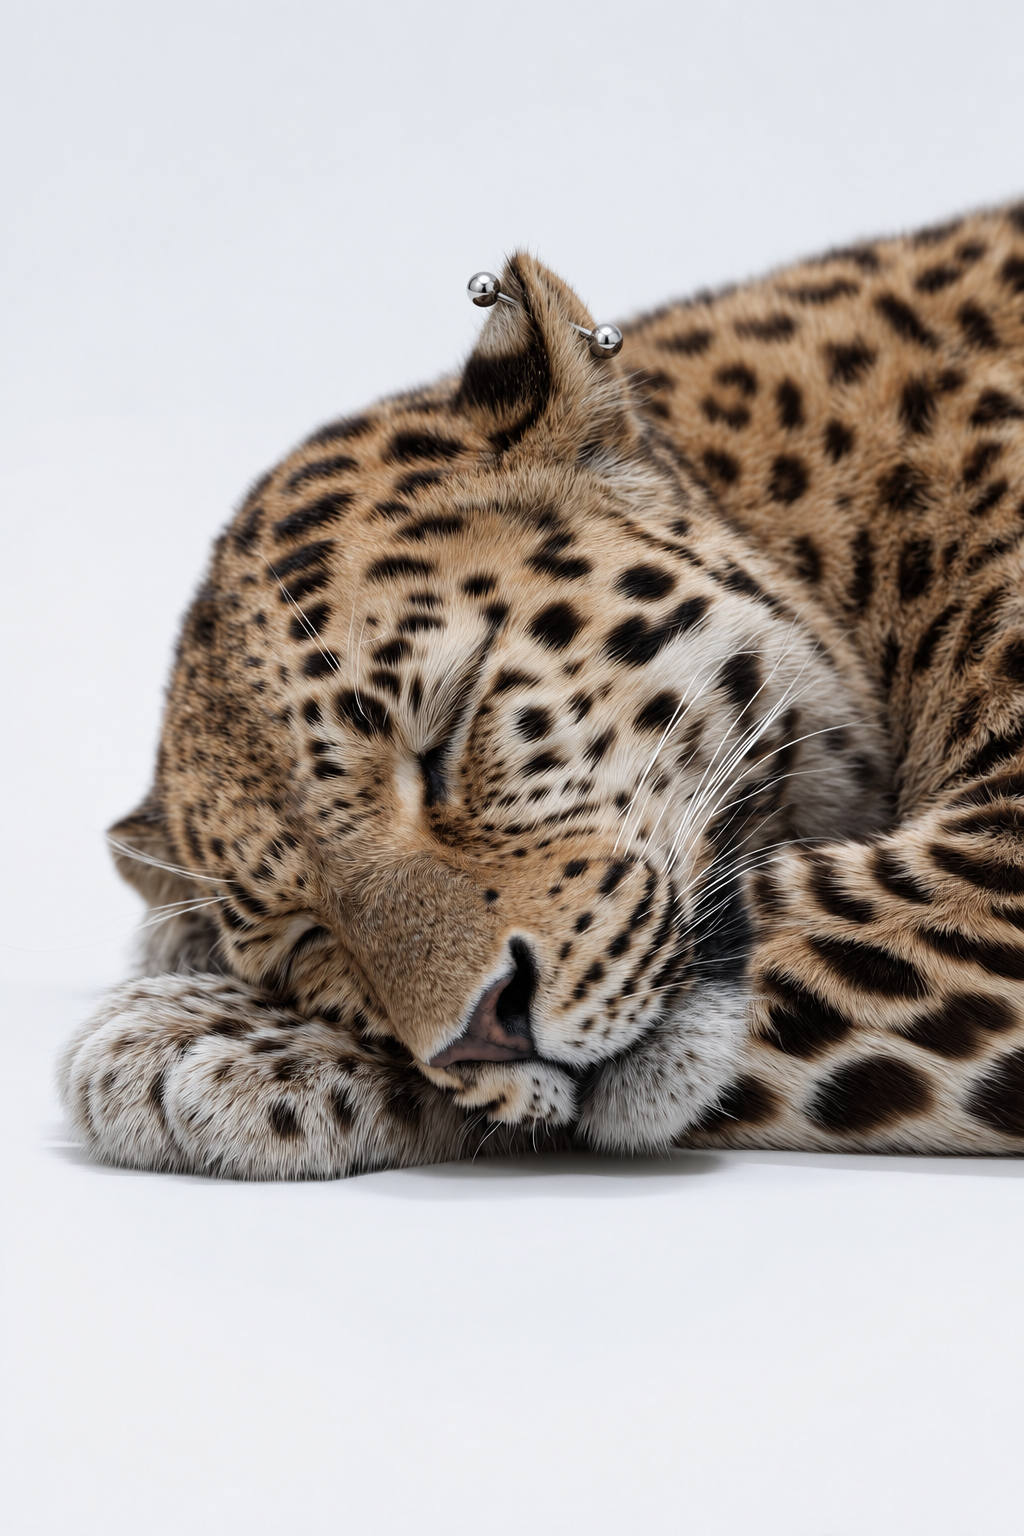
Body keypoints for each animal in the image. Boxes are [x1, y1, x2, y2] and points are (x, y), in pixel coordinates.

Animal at [58, 201, 1024, 1178]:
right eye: (306, 936)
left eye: (445, 738)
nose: (488, 1033)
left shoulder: (993, 868)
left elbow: (794, 902)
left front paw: (191, 1036)